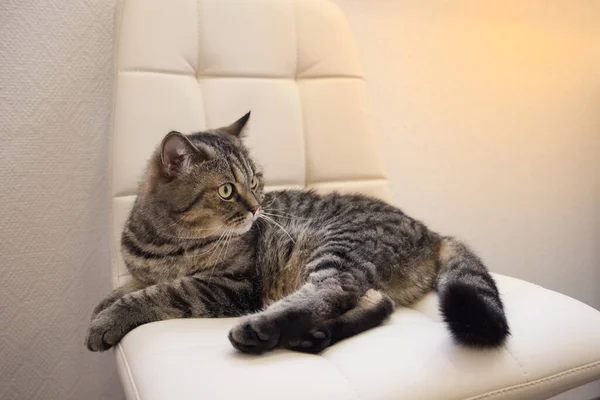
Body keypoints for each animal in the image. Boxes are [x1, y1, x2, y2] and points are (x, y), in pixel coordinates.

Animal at [84, 111, 508, 354]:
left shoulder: (232, 284)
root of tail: (429, 232)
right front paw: (104, 303)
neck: (165, 239)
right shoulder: (143, 271)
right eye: (227, 190)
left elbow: (160, 293)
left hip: (337, 246)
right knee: (378, 302)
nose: (256, 208)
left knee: (332, 291)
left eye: (255, 181)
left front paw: (107, 321)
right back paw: (315, 336)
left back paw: (262, 330)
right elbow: (131, 286)